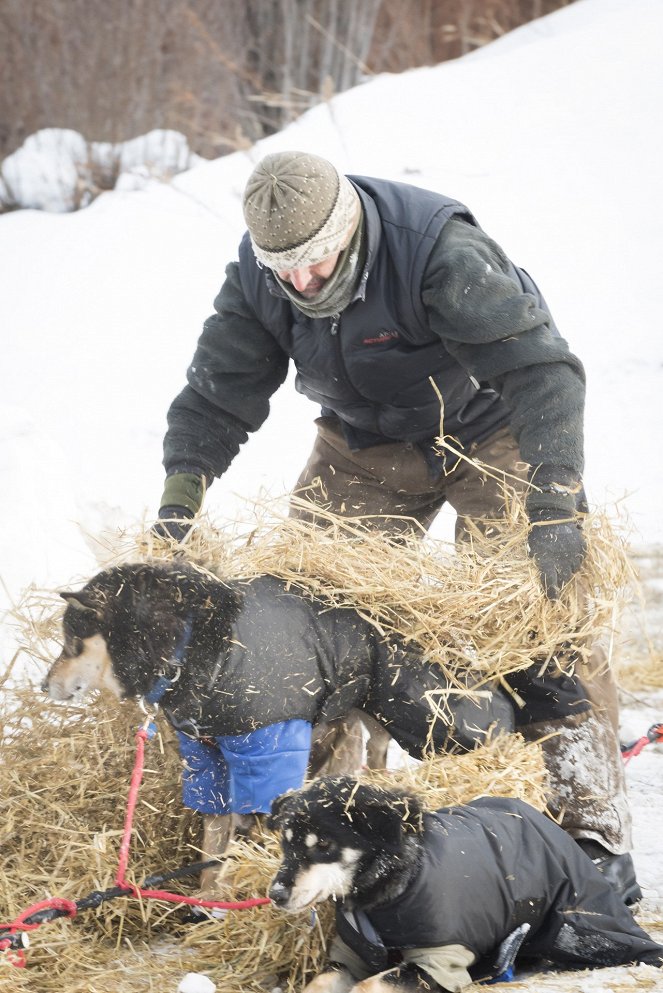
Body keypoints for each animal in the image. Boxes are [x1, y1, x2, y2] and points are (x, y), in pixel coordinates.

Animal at [41, 560, 510, 900]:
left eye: (71, 643)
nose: (44, 685)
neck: (190, 645)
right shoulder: (208, 758)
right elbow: (214, 839)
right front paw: (206, 898)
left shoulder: (268, 746)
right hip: (366, 717)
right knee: (374, 757)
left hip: (417, 708)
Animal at [270, 780, 663, 988]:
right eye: (286, 844)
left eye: (323, 844)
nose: (275, 894)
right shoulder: (352, 955)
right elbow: (321, 981)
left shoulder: (440, 960)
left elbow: (375, 983)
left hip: (582, 922)